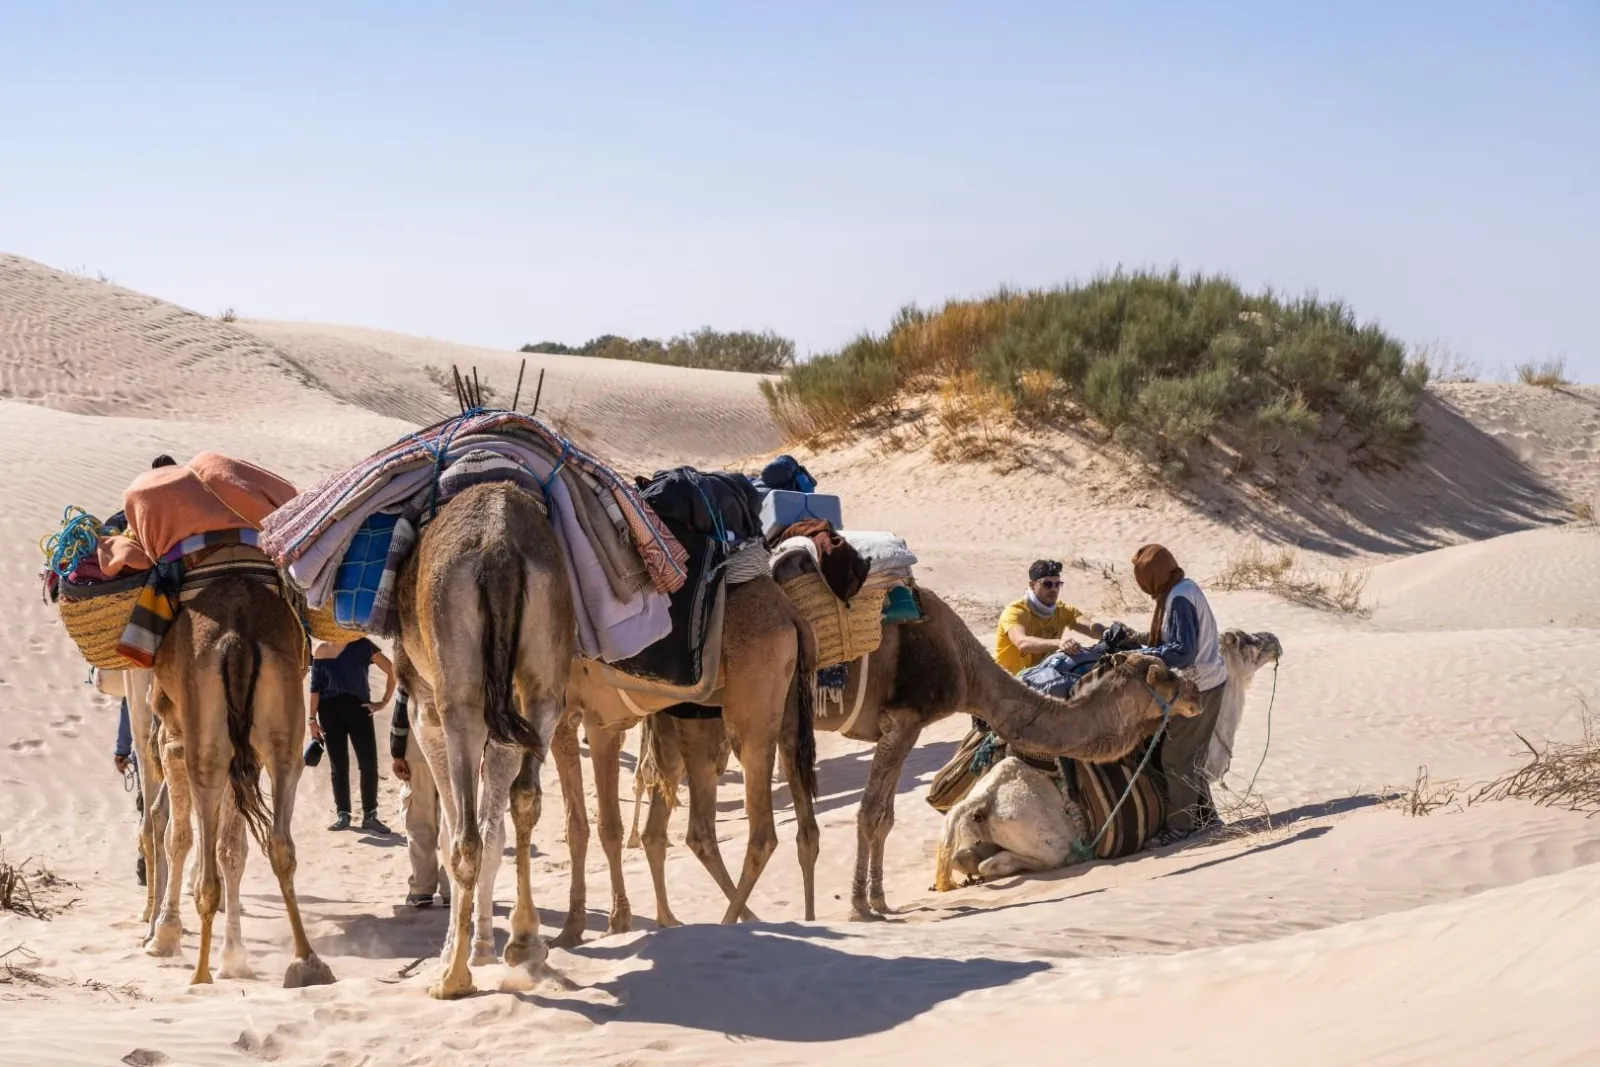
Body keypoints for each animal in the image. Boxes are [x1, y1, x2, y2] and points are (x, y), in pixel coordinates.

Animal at [143, 576, 334, 988]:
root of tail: (237, 640)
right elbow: (227, 846)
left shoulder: (172, 740)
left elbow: (178, 837)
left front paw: (164, 935)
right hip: (282, 730)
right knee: (280, 843)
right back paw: (306, 962)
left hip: (206, 744)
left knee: (206, 856)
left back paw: (201, 972)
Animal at [393, 481, 575, 1000]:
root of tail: (499, 549)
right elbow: (497, 829)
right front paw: (487, 946)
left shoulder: (425, 711)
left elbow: (454, 828)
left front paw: (455, 952)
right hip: (544, 674)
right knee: (527, 797)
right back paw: (526, 941)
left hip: (458, 694)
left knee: (466, 838)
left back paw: (452, 980)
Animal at [550, 573, 818, 943]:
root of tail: (789, 613)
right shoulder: (578, 720)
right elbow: (583, 825)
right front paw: (582, 926)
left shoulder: (589, 720)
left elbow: (602, 826)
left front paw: (609, 923)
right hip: (784, 711)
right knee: (803, 831)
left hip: (748, 713)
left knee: (757, 833)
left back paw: (728, 923)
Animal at [937, 629, 1284, 886]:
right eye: (1246, 642)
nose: (1273, 640)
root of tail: (982, 800)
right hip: (1046, 840)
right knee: (1003, 863)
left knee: (964, 858)